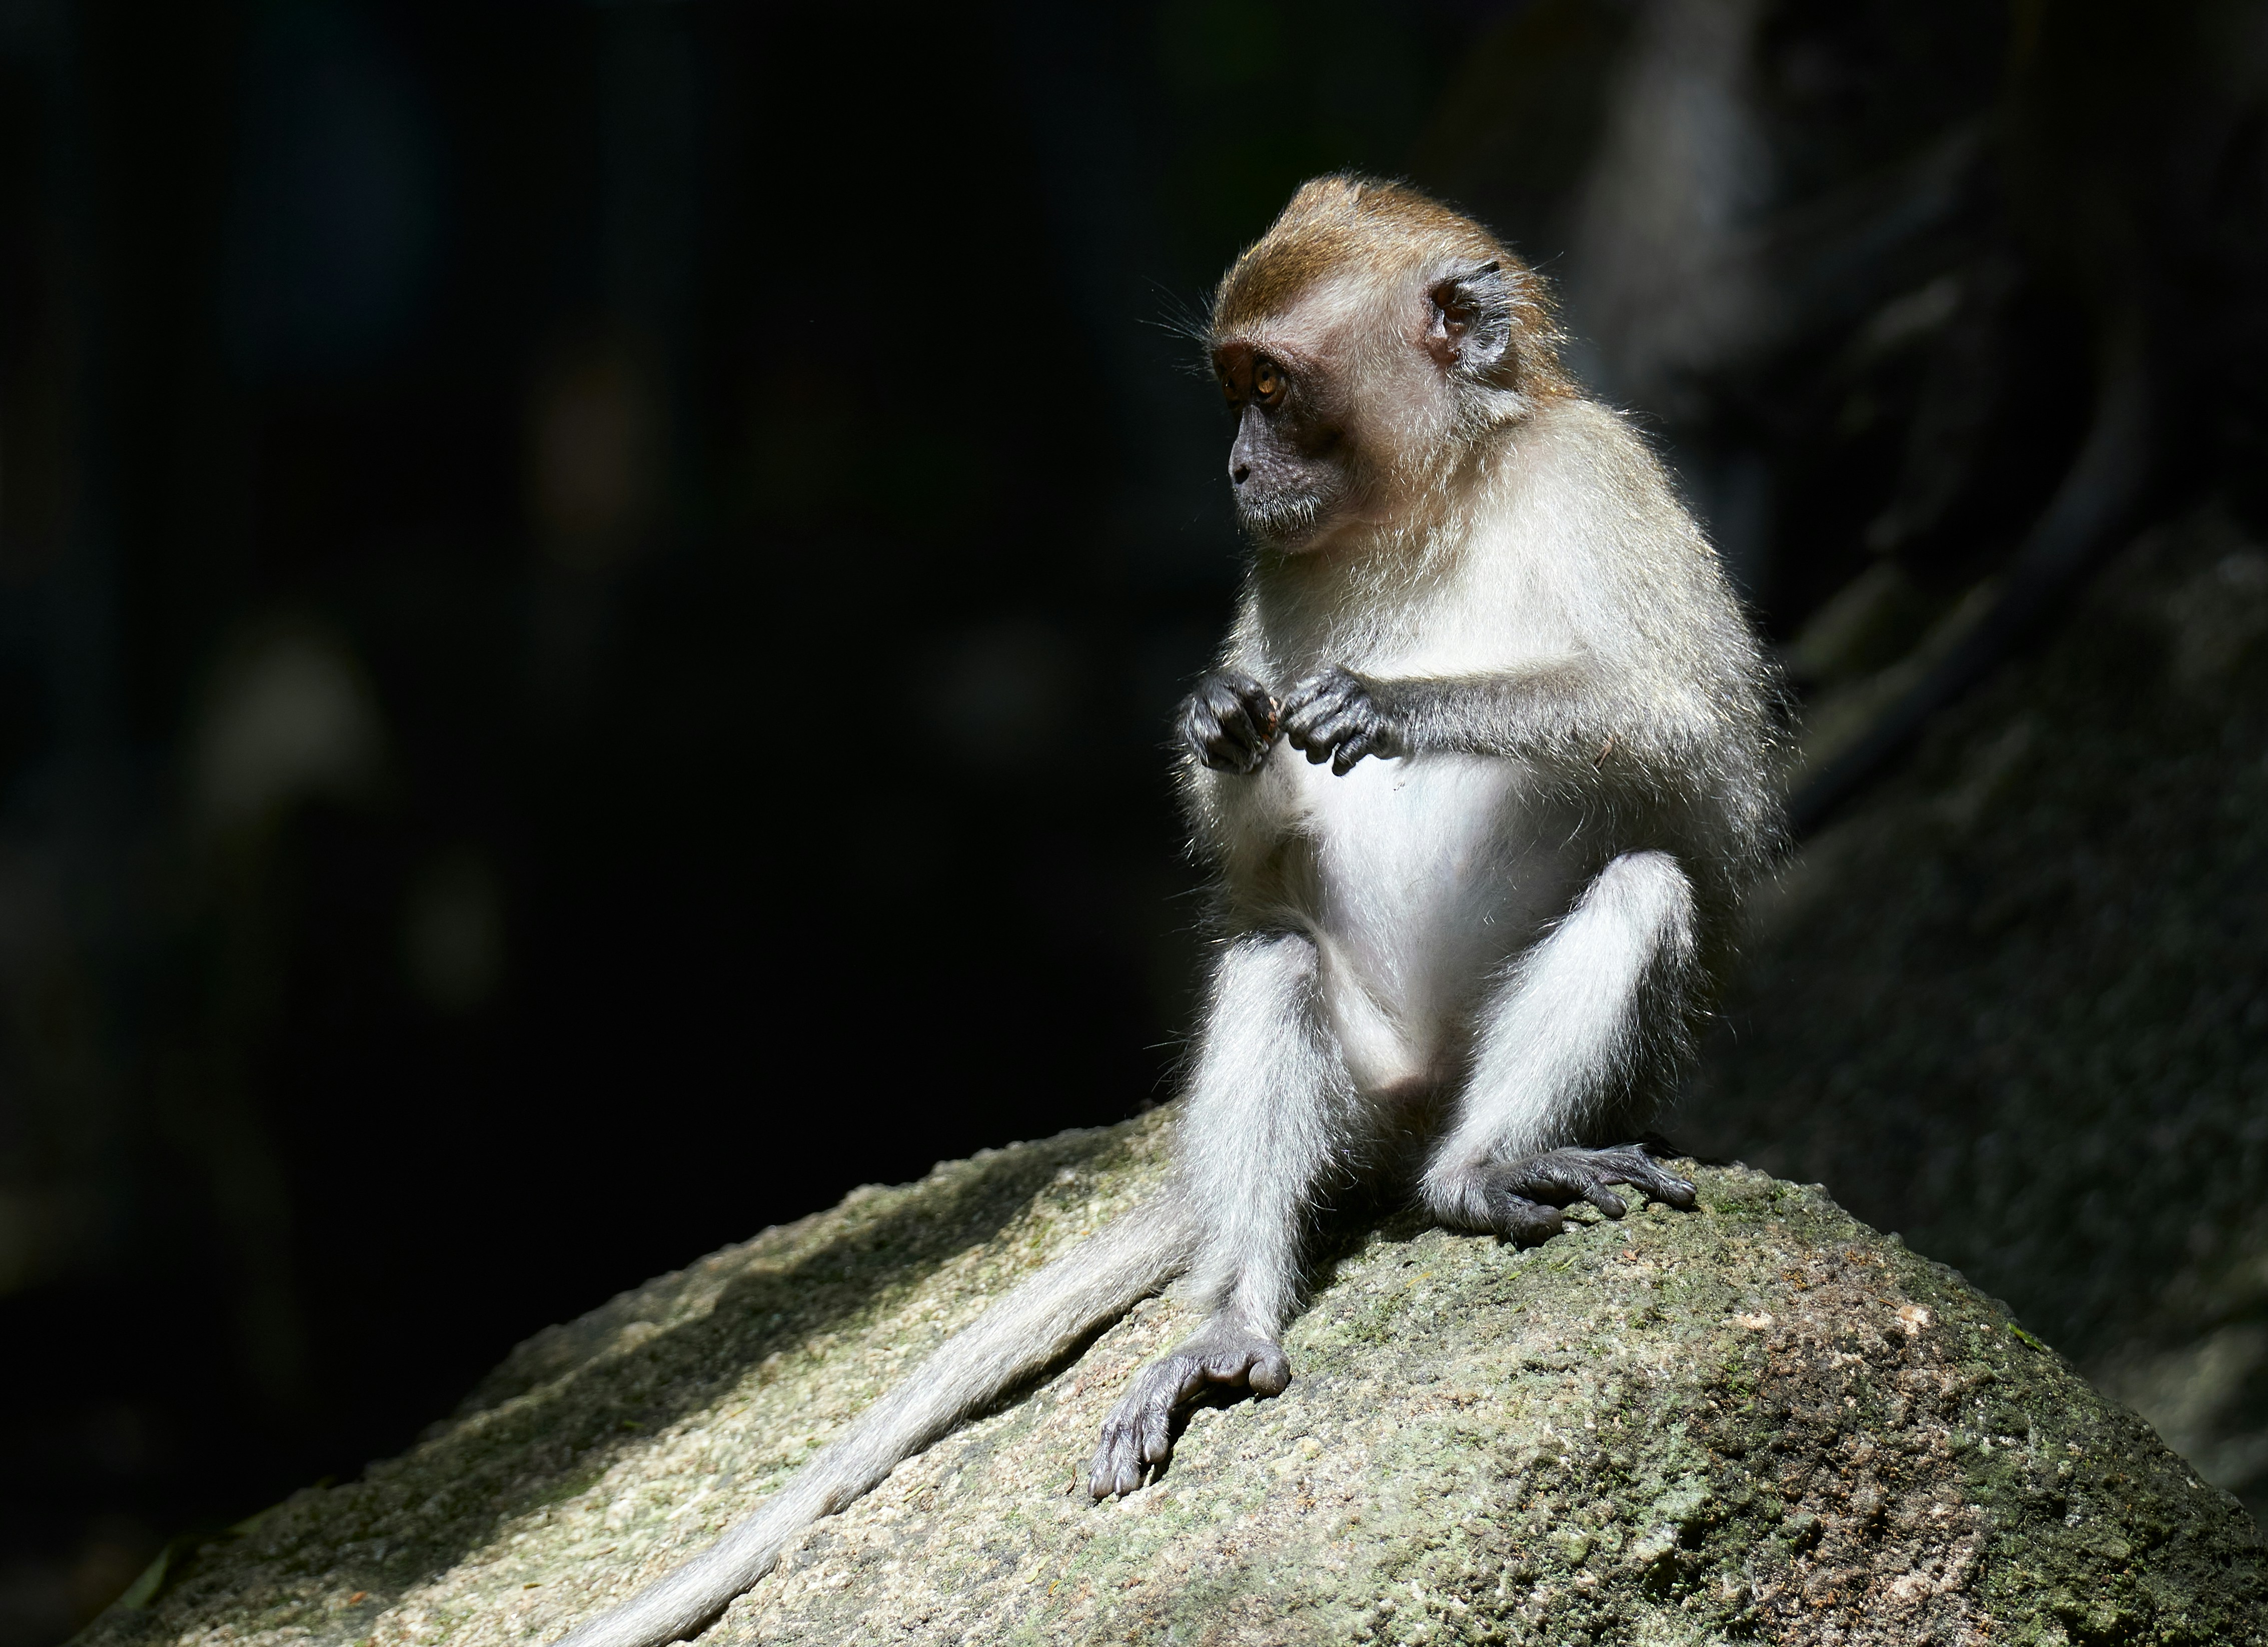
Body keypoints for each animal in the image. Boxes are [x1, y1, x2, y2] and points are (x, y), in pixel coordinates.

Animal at [550, 174, 1780, 1647]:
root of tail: (1411, 1120)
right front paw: (1216, 724)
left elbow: (1696, 740)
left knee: (1635, 891)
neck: (1436, 501)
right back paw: (1233, 1323)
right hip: (1358, 1077)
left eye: (1273, 386)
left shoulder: (1600, 479)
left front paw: (1402, 703)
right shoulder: (1277, 573)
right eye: (1231, 390)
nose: (1237, 473)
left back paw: (1483, 1168)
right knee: (1274, 959)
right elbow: (1256, 865)